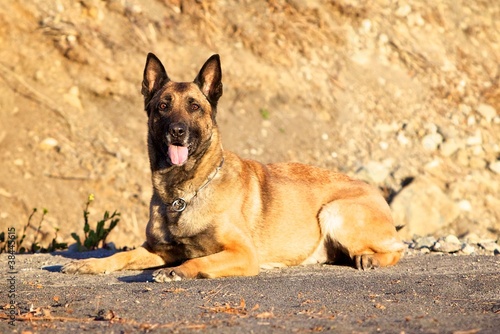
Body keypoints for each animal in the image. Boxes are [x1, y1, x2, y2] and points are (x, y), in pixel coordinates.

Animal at [62, 53, 406, 280]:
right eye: (162, 106)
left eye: (194, 107)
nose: (177, 131)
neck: (182, 193)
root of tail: (376, 193)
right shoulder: (158, 249)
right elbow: (123, 254)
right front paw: (88, 264)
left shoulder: (242, 254)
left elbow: (201, 262)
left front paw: (178, 272)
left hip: (334, 212)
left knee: (398, 248)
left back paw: (371, 260)